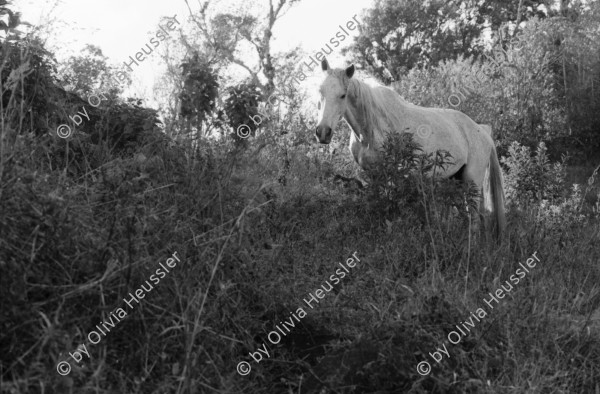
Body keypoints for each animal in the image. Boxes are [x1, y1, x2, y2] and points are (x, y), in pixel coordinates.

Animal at [314, 58, 506, 237]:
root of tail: (483, 132)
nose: (323, 132)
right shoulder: (373, 173)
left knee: (474, 219)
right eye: (320, 92)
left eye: (342, 95)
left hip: (471, 181)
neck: (371, 127)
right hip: (455, 180)